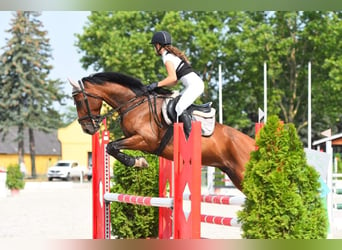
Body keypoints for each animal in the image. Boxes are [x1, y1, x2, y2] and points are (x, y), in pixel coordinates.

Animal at [68, 71, 255, 190]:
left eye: (78, 100)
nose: (87, 128)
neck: (135, 105)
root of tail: (253, 143)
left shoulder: (146, 140)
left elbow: (111, 146)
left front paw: (138, 162)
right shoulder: (133, 138)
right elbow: (112, 147)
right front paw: (138, 162)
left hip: (242, 173)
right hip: (235, 175)